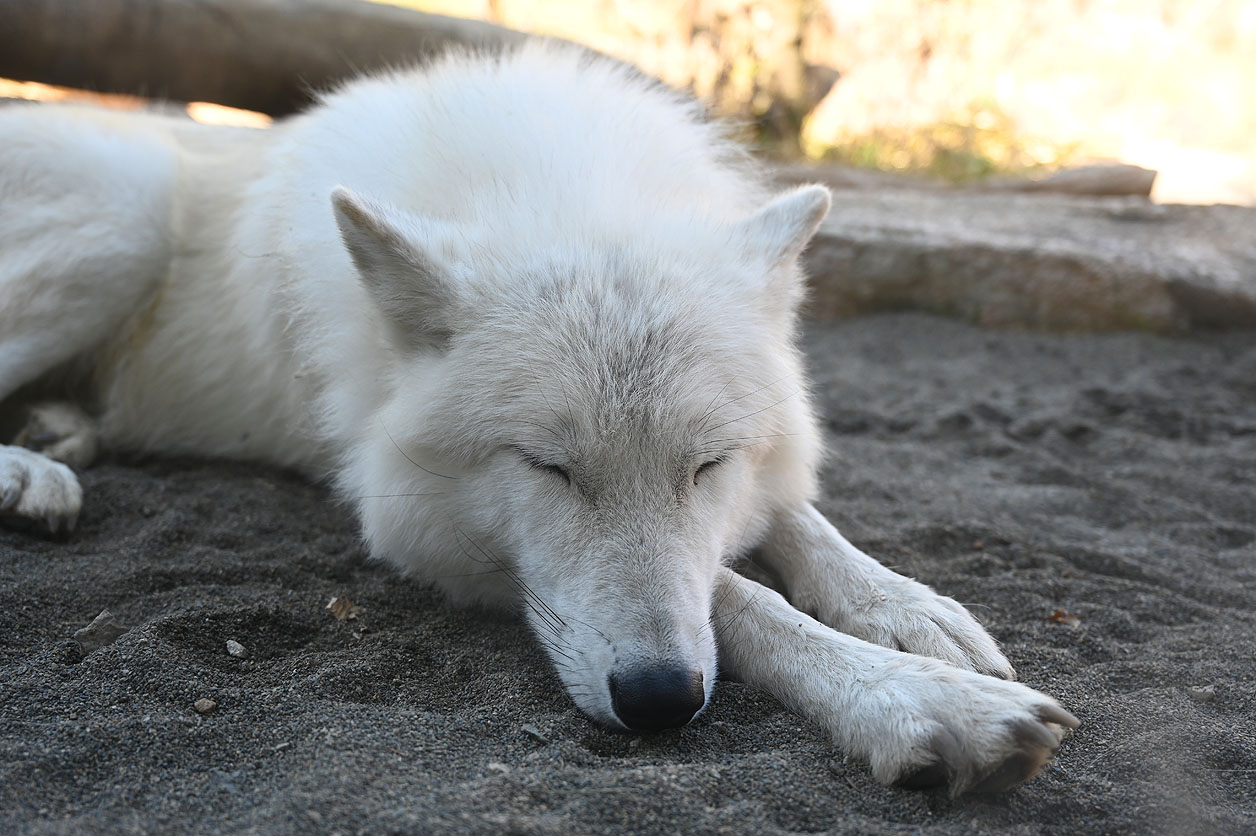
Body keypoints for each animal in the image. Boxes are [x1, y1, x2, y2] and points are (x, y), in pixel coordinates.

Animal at [2, 42, 1080, 793]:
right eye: (549, 468)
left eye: (706, 466)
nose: (658, 700)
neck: (559, 190)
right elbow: (736, 596)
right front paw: (918, 703)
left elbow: (791, 520)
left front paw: (903, 608)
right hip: (123, 218)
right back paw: (30, 473)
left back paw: (58, 430)